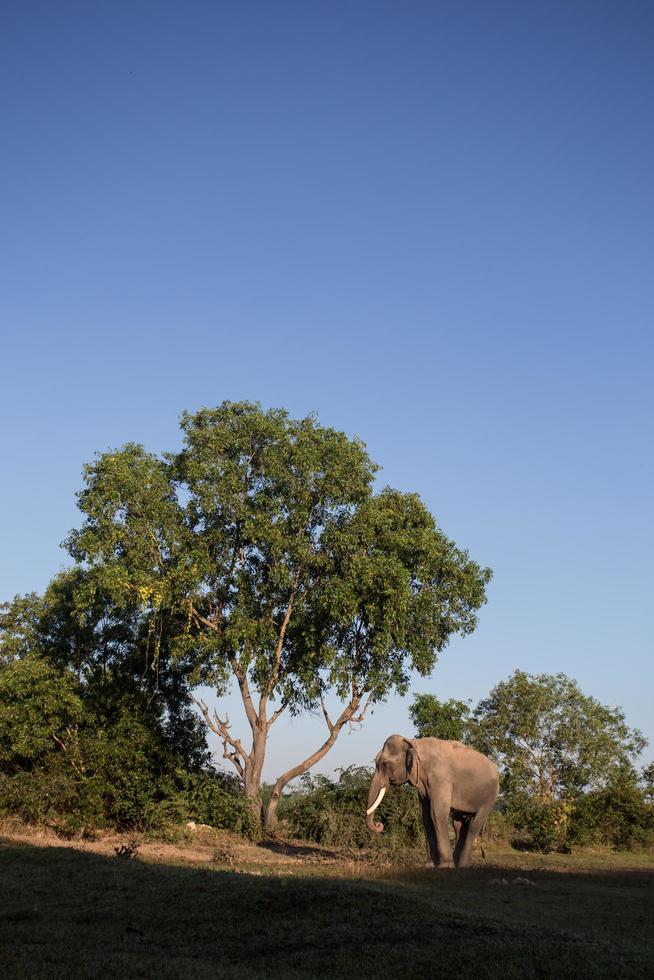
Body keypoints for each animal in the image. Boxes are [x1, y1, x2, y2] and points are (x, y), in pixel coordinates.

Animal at [366, 732, 500, 868]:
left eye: (384, 764)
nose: (379, 825)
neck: (413, 743)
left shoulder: (440, 778)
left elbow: (436, 814)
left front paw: (445, 866)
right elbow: (425, 817)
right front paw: (431, 865)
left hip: (490, 796)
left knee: (474, 824)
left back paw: (463, 865)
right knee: (458, 824)